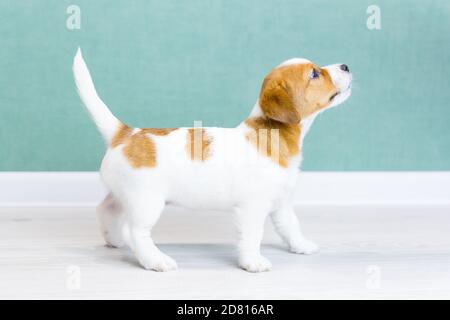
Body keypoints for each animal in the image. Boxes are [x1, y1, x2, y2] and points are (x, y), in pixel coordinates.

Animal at [73, 48, 352, 272]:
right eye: (314, 74)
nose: (346, 65)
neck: (273, 133)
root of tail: (125, 132)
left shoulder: (281, 202)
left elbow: (291, 226)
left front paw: (302, 246)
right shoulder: (252, 208)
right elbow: (253, 236)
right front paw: (252, 262)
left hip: (126, 195)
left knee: (106, 209)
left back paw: (112, 239)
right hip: (147, 202)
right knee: (136, 232)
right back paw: (155, 260)